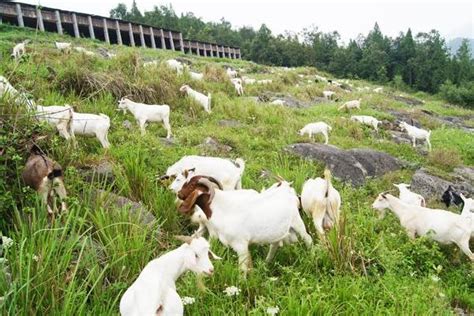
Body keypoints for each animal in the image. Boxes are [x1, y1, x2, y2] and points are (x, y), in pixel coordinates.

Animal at [176, 177, 312, 272]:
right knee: (274, 245)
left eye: (192, 185)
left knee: (308, 238)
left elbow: (242, 268)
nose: (179, 193)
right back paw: (267, 262)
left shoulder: (241, 245)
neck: (222, 207)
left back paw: (312, 255)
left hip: (297, 222)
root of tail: (288, 192)